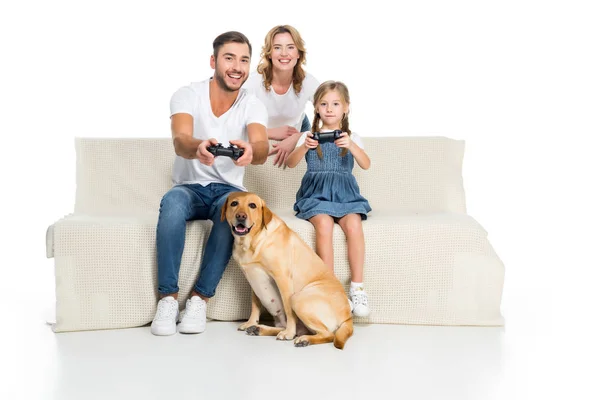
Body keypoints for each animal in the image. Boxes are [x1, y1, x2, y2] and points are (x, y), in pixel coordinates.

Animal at [219, 192, 352, 348]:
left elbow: (289, 312)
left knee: (328, 335)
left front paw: (289, 333)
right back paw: (258, 328)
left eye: (252, 205)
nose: (241, 216)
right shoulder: (252, 280)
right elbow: (255, 305)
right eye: (234, 203)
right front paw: (251, 322)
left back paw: (303, 339)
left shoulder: (282, 277)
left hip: (298, 298)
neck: (251, 242)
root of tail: (348, 317)